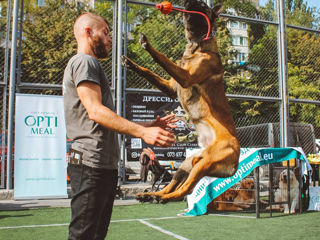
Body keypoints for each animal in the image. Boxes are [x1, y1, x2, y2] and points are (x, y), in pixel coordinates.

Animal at [121, 0, 239, 202]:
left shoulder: (185, 77)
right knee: (170, 185)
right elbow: (149, 71)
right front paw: (132, 64)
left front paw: (148, 45)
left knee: (186, 190)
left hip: (204, 163)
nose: (188, 2)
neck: (197, 45)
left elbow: (162, 57)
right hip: (187, 164)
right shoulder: (171, 87)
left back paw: (164, 198)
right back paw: (152, 194)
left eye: (202, 4)